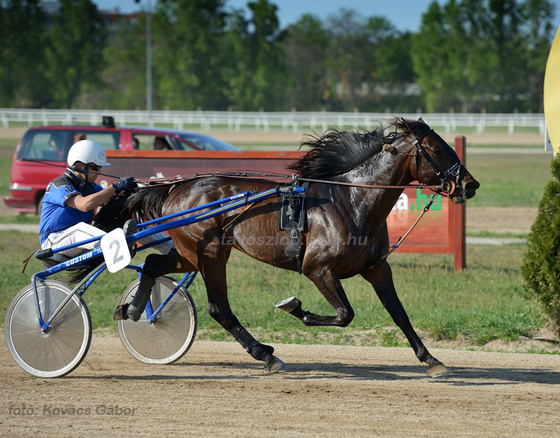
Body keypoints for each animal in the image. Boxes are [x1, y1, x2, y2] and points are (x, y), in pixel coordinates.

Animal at [101, 118, 476, 374]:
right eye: (437, 149)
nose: (470, 184)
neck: (353, 201)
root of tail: (175, 188)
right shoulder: (317, 268)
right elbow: (345, 314)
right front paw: (296, 308)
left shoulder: (376, 267)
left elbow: (398, 313)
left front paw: (431, 359)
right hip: (209, 253)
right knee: (218, 308)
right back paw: (265, 354)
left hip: (190, 254)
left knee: (152, 264)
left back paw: (132, 309)